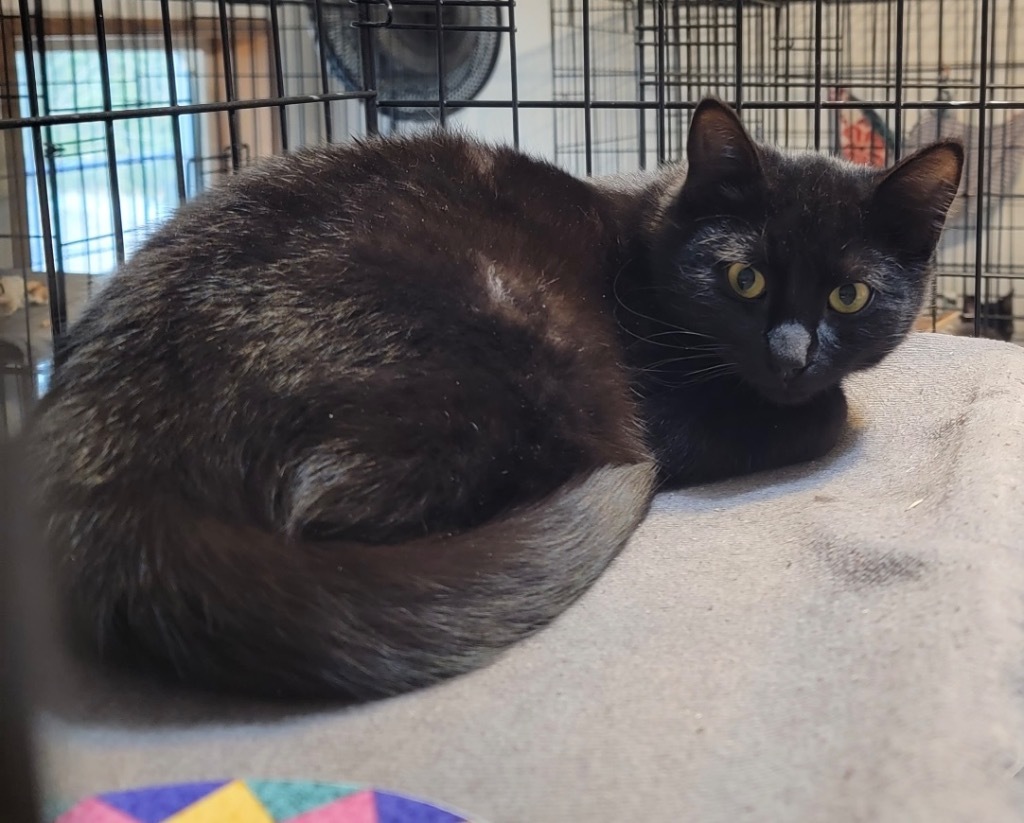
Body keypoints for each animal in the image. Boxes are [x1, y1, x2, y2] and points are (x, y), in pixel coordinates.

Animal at [25, 98, 966, 700]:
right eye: (745, 278)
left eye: (848, 295)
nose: (790, 355)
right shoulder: (664, 405)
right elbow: (830, 414)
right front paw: (814, 404)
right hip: (533, 363)